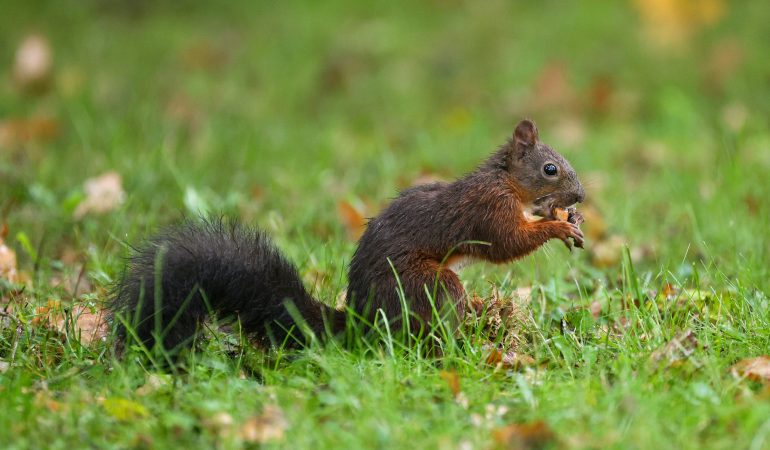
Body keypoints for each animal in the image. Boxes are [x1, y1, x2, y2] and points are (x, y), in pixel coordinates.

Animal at [111, 119, 585, 354]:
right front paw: (558, 225)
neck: (506, 181)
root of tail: (363, 322)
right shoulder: (488, 208)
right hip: (427, 286)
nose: (580, 195)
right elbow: (507, 243)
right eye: (550, 169)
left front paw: (562, 216)